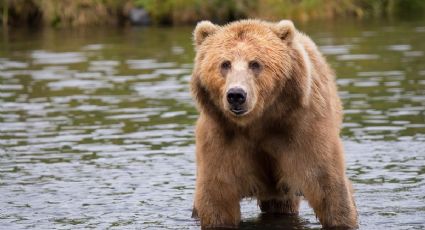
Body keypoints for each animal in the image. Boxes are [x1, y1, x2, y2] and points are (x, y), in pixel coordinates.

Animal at [190, 18, 358, 229]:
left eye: (255, 64)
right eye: (225, 64)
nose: (236, 95)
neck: (259, 122)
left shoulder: (302, 129)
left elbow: (328, 185)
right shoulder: (222, 136)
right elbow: (218, 196)